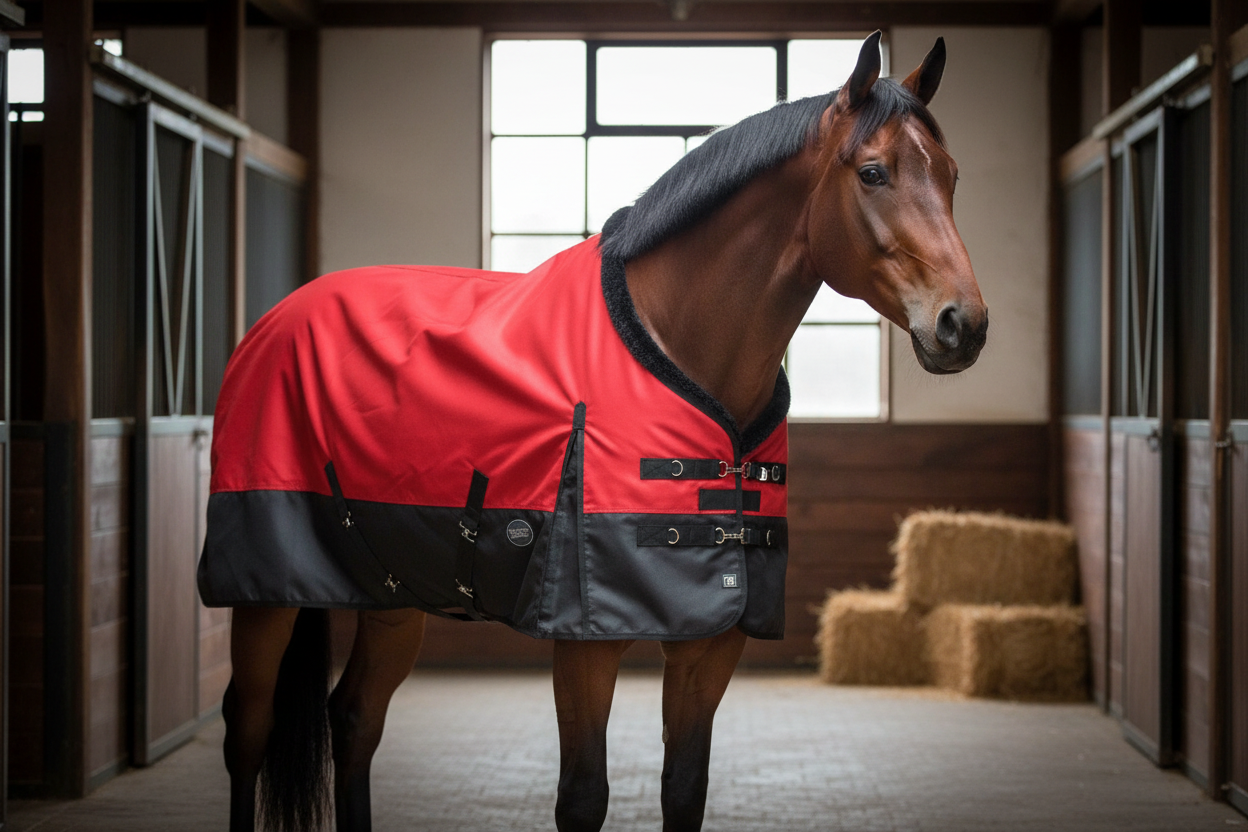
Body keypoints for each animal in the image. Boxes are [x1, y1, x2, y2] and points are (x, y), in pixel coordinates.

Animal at [207, 30, 986, 832]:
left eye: (951, 174)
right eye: (873, 172)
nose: (962, 324)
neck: (678, 344)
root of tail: (274, 318)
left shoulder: (712, 641)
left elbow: (685, 787)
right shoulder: (586, 641)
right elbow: (583, 796)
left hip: (392, 592)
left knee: (356, 716)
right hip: (264, 593)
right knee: (249, 726)